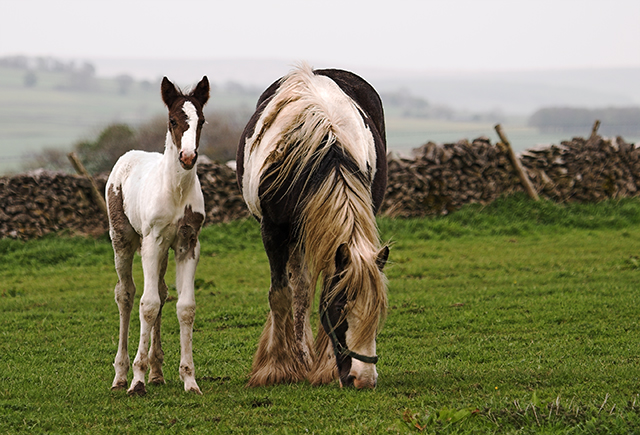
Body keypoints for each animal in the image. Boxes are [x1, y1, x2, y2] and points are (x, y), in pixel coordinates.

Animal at [106, 76, 209, 396]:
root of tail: (128, 156)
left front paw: (189, 379)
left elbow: (185, 306)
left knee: (162, 293)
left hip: (164, 249)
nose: (188, 157)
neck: (175, 191)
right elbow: (147, 305)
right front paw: (137, 381)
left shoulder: (188, 243)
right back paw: (121, 375)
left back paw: (157, 372)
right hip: (123, 240)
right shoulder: (152, 242)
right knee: (126, 294)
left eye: (202, 120)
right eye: (172, 120)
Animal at [236, 63, 390, 388]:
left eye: (378, 311)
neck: (325, 150)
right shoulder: (273, 231)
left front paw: (326, 367)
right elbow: (281, 294)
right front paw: (276, 368)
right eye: (340, 308)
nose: (363, 379)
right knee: (299, 289)